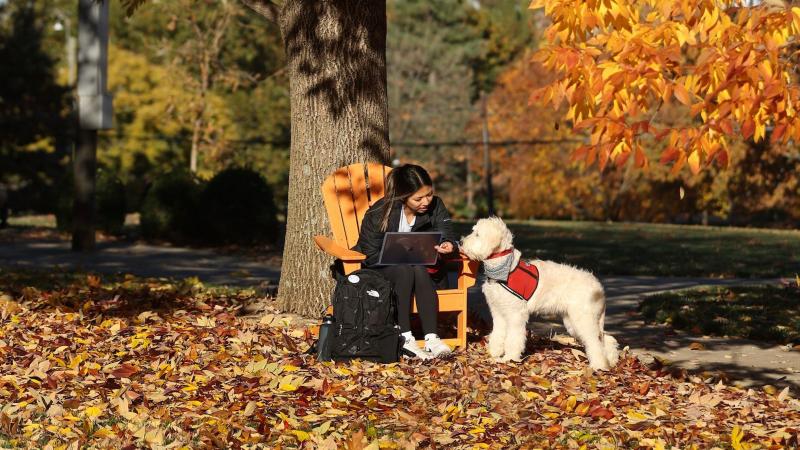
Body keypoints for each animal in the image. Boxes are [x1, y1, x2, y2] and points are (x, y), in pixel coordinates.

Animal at [460, 217, 616, 370]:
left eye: (477, 234)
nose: (460, 242)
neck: (503, 270)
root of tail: (598, 286)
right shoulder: (498, 312)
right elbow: (498, 333)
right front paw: (495, 353)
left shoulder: (516, 314)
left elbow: (513, 337)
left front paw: (510, 358)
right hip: (574, 322)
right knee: (605, 339)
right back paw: (611, 361)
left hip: (582, 319)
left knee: (595, 342)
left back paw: (599, 365)